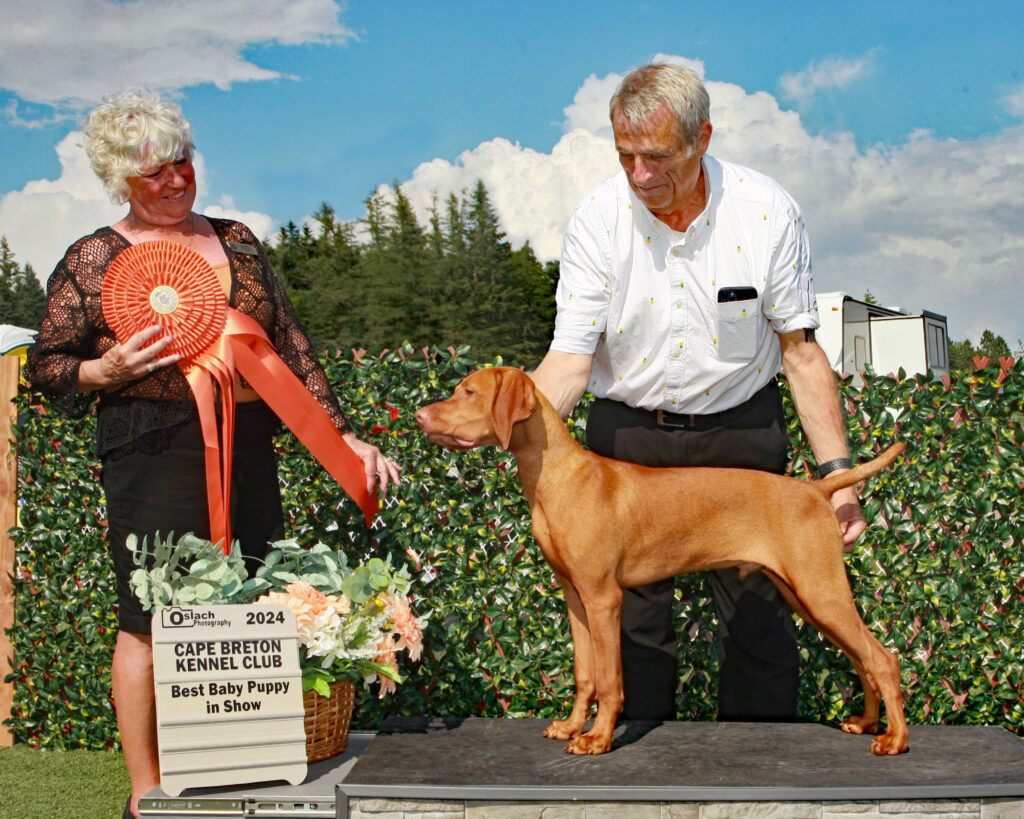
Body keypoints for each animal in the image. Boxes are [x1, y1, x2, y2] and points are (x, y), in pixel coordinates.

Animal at [411, 364, 909, 753]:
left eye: (468, 392)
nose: (419, 414)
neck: (559, 476)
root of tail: (816, 488)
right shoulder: (575, 598)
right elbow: (584, 674)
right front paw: (572, 727)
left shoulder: (604, 598)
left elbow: (609, 680)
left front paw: (598, 739)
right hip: (805, 594)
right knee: (862, 658)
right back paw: (866, 723)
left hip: (819, 590)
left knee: (883, 658)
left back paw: (894, 740)